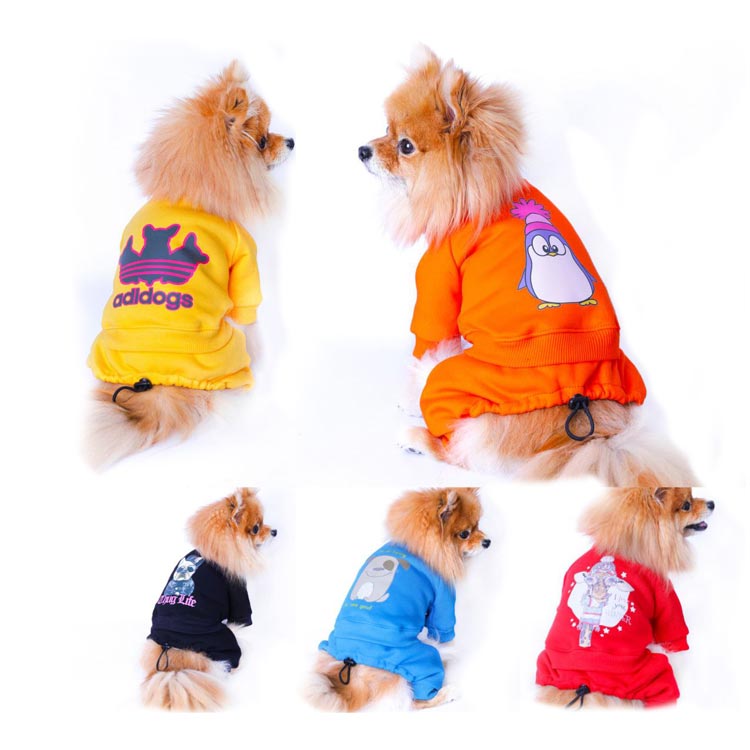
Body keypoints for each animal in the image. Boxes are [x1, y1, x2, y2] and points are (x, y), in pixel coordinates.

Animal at [86, 61, 293, 468]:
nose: (292, 142)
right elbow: (251, 317)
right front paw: (264, 352)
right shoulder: (244, 265)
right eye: (263, 141)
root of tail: (153, 382)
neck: (190, 193)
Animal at [141, 488, 276, 711]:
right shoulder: (237, 591)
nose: (274, 531)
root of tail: (175, 660)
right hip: (225, 642)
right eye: (256, 528)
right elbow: (243, 617)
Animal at [305, 487, 490, 711]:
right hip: (422, 660)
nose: (487, 542)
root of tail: (353, 668)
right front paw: (449, 649)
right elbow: (446, 630)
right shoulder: (442, 600)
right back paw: (446, 692)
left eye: (478, 525)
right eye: (465, 533)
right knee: (417, 700)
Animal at [358, 47, 695, 486]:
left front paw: (408, 399)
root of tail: (585, 431)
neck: (474, 191)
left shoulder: (438, 286)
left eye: (405, 146)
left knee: (459, 451)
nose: (362, 150)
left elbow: (426, 348)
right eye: (385, 129)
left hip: (453, 383)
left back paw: (416, 438)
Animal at [536, 487, 713, 708]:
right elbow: (672, 626)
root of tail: (585, 683)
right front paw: (678, 647)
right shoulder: (663, 594)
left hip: (546, 667)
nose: (712, 503)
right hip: (650, 674)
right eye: (686, 505)